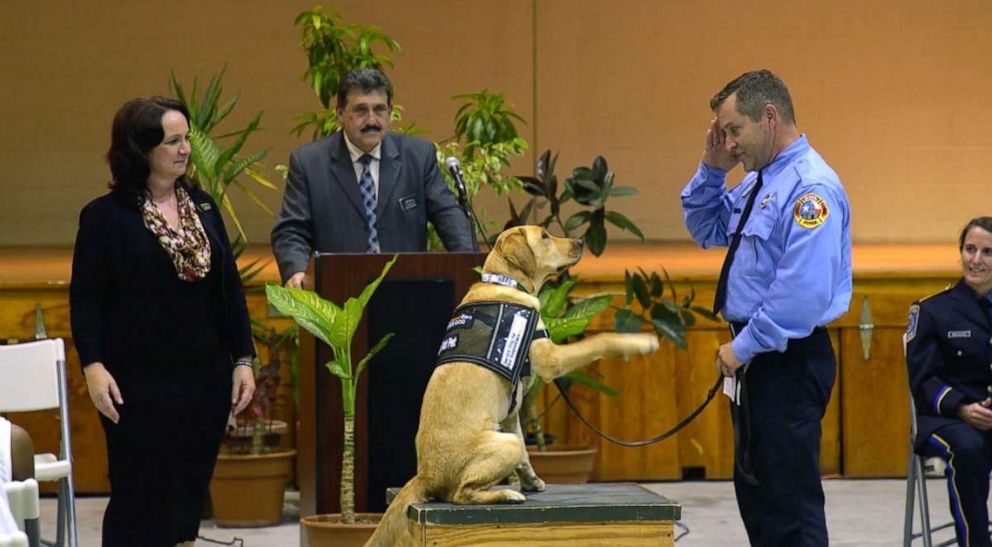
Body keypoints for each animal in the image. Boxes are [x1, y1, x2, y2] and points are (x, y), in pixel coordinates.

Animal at [364, 225, 660, 544]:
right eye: (544, 236)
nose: (581, 241)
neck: (507, 283)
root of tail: (425, 476)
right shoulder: (551, 359)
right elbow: (601, 340)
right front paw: (639, 343)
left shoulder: (511, 412)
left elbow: (527, 453)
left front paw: (531, 480)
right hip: (502, 446)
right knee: (461, 495)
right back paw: (506, 494)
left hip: (505, 437)